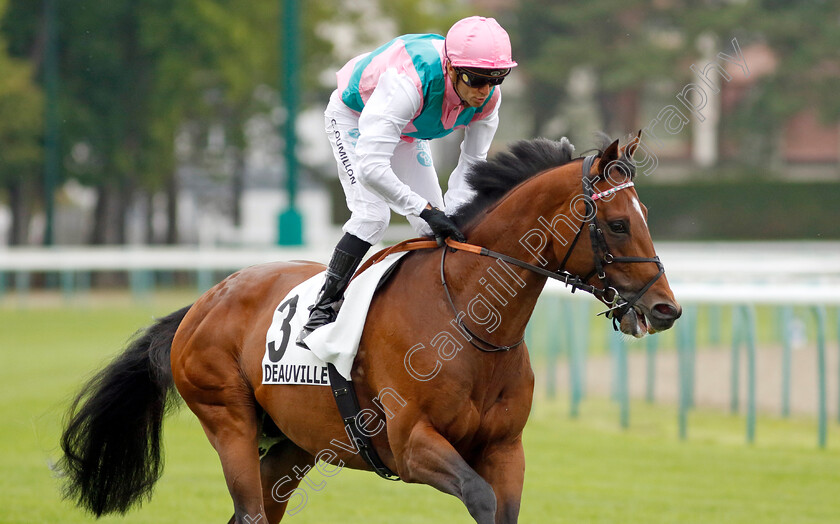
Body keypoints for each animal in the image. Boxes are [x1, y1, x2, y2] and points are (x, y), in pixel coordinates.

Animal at [59, 136, 684, 524]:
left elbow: (502, 507)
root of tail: (204, 301)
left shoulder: (506, 448)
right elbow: (479, 498)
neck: (468, 320)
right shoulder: (411, 445)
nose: (665, 310)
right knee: (250, 509)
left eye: (646, 217)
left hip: (292, 444)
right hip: (228, 420)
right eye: (618, 223)